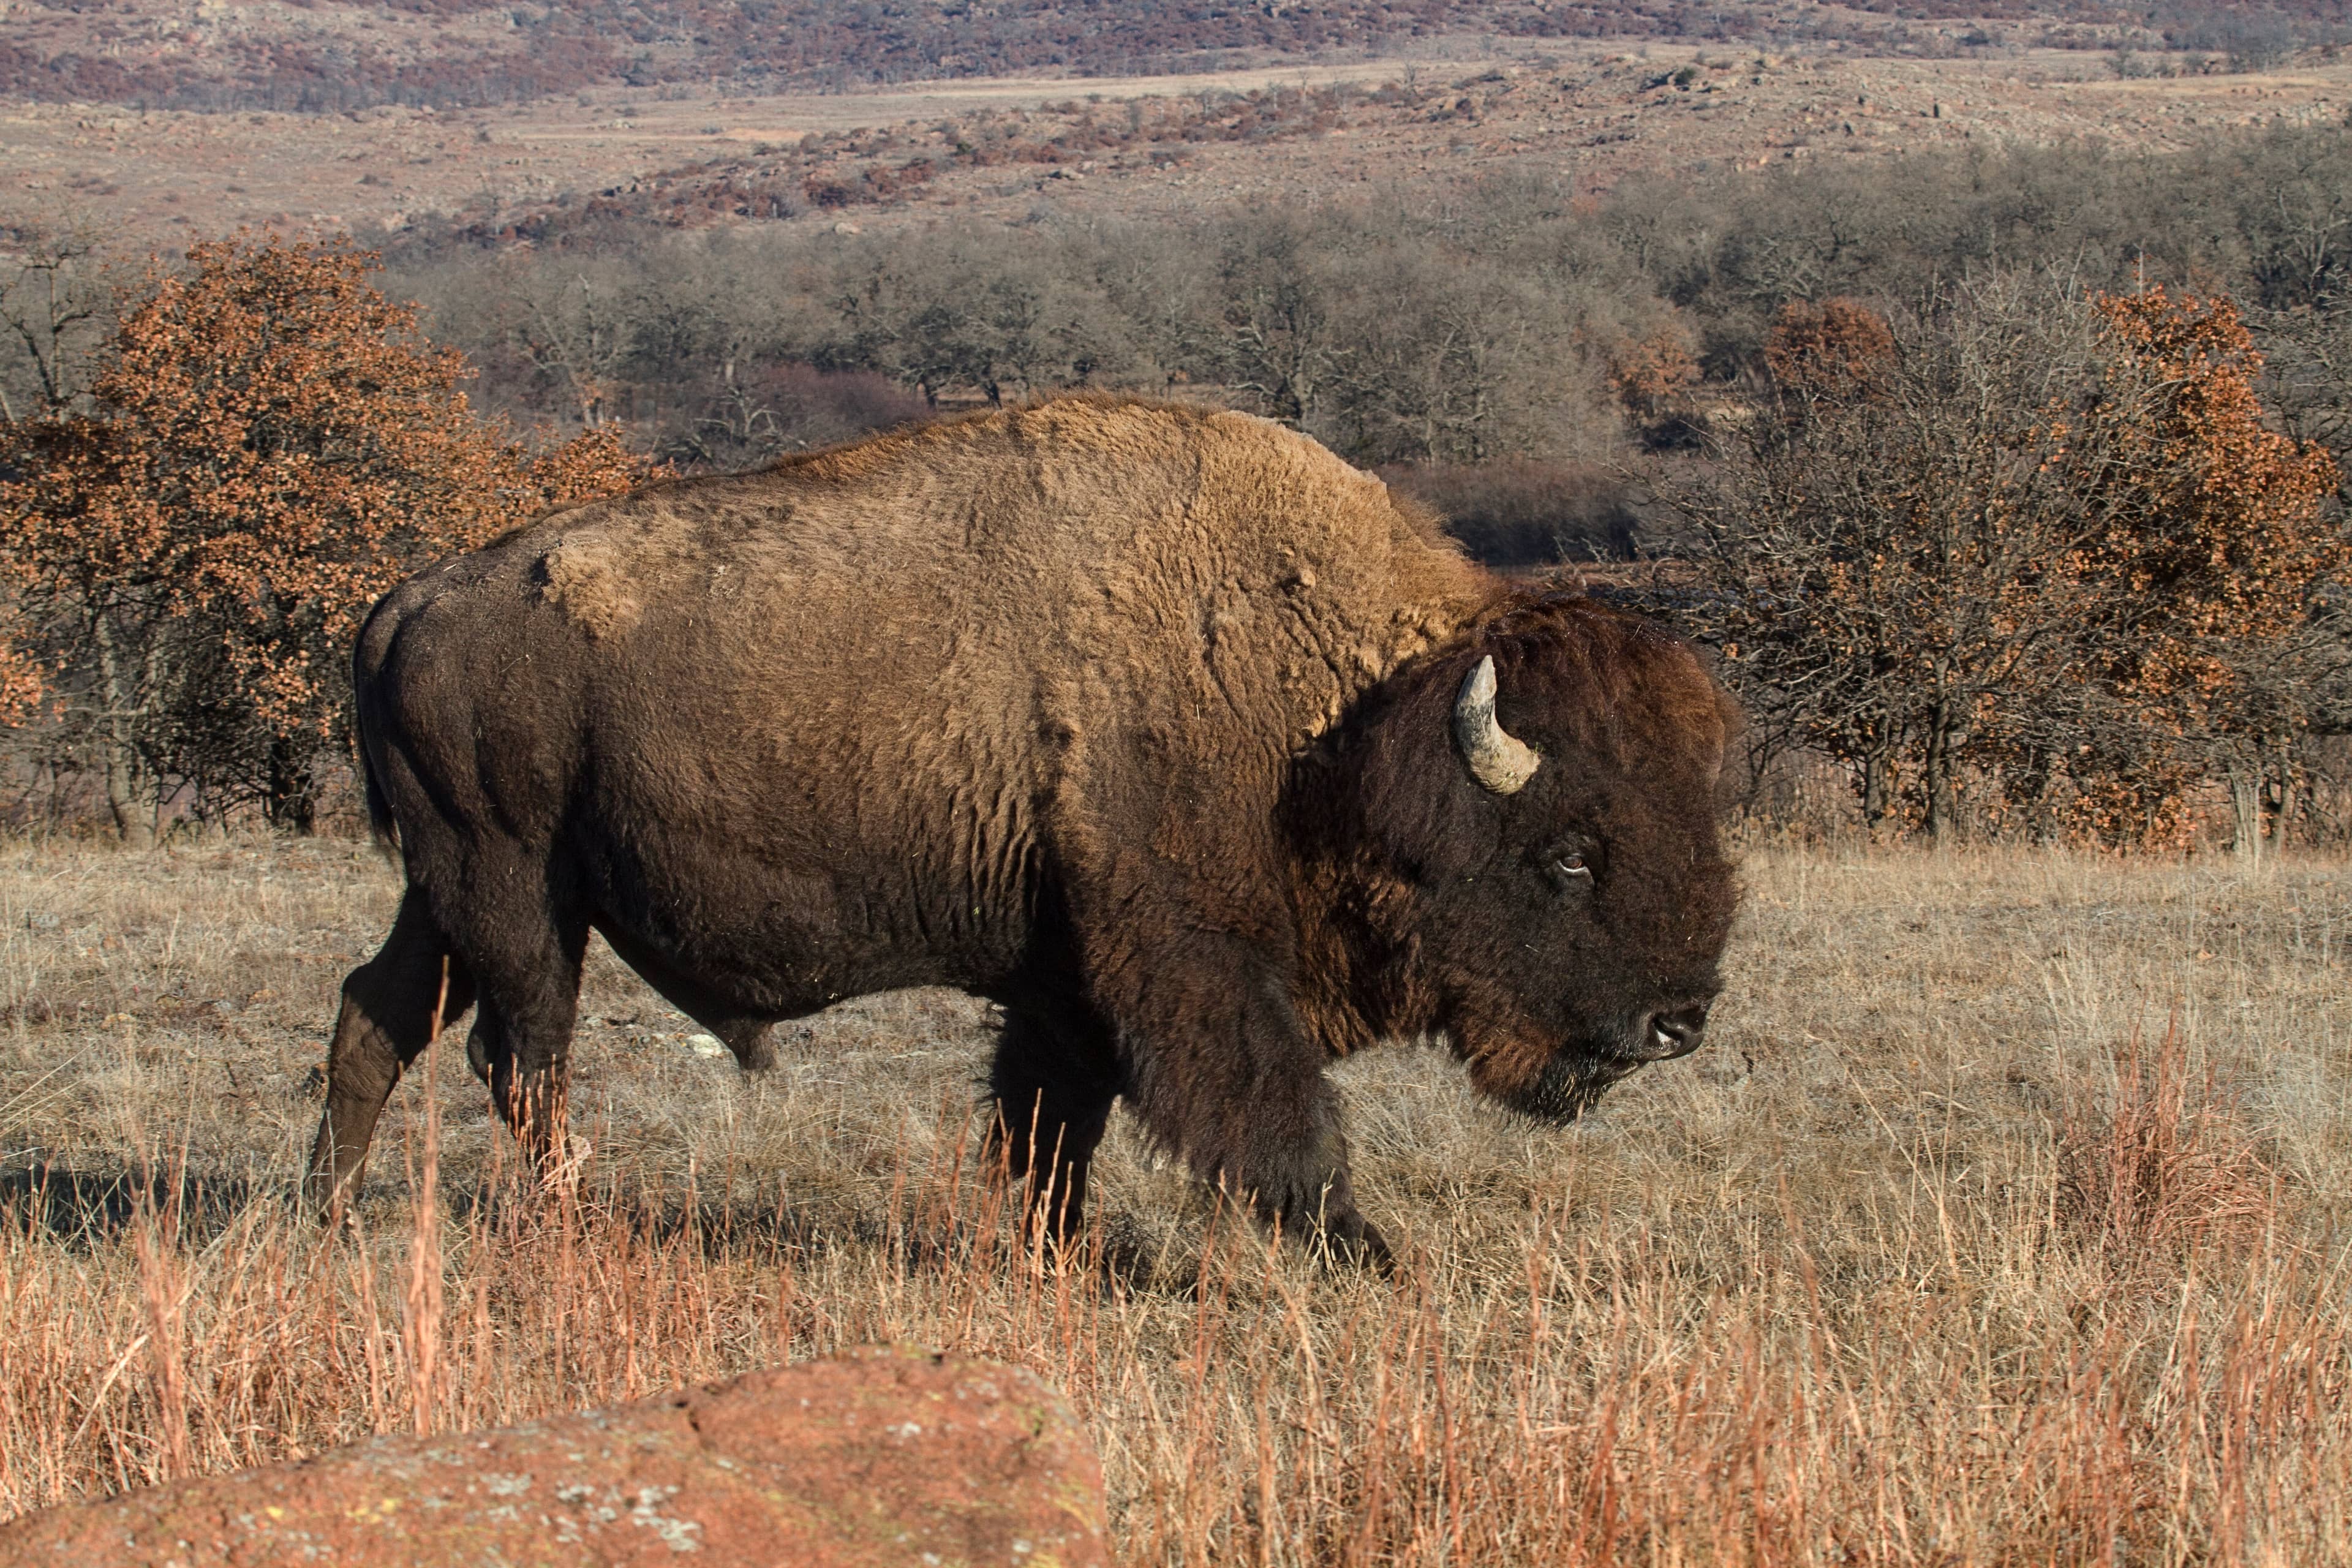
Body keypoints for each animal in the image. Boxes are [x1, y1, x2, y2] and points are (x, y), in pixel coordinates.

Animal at [309, 397, 1740, 1260]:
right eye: (1569, 856)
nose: (1678, 1021)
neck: (1334, 719)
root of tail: (406, 603)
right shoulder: (1186, 961)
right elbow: (1273, 1116)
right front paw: (1367, 1254)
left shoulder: (1067, 978)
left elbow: (1053, 1125)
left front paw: (1057, 1251)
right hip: (517, 892)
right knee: (519, 1056)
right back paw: (568, 1222)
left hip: (452, 895)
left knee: (378, 1013)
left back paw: (329, 1209)